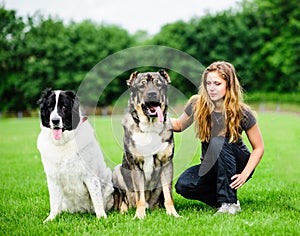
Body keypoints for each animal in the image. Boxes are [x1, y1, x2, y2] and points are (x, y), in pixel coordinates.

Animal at [36, 89, 113, 223]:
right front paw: (51, 219)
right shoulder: (53, 178)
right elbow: (54, 201)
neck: (63, 143)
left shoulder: (91, 177)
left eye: (64, 106)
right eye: (50, 107)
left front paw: (101, 217)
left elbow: (97, 199)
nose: (55, 121)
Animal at [112, 70, 178, 219]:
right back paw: (124, 210)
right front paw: (139, 215)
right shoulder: (136, 165)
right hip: (117, 171)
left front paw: (173, 213)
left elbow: (168, 194)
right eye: (141, 86)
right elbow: (139, 195)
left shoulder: (167, 163)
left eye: (159, 84)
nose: (152, 94)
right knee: (124, 199)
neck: (149, 126)